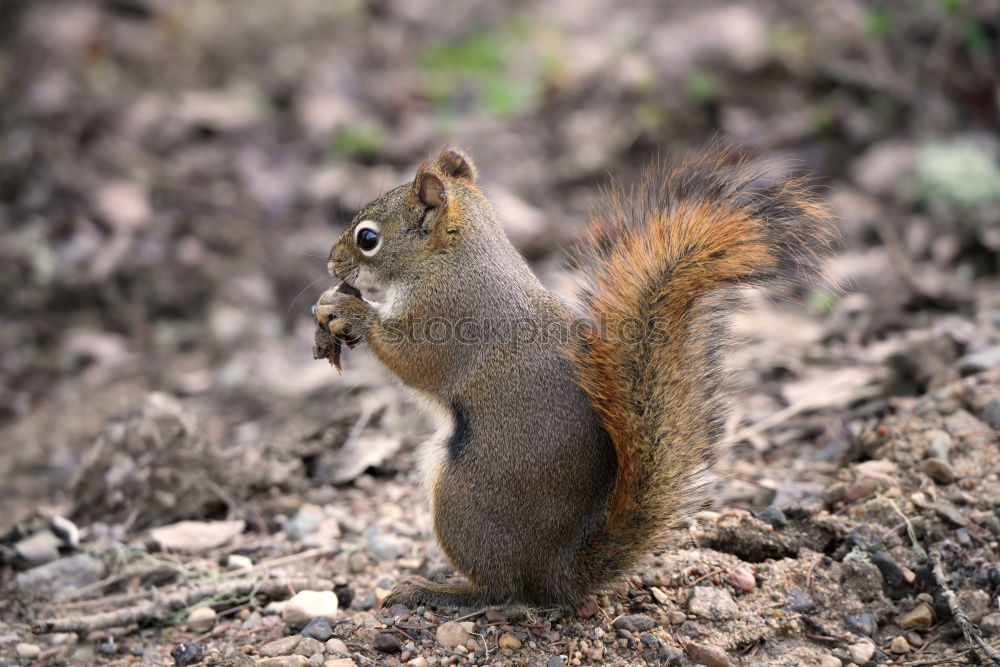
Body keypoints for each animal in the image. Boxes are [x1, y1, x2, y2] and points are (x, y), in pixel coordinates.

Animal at [314, 146, 836, 612]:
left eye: (367, 238)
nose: (330, 263)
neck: (452, 257)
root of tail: (554, 573)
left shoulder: (446, 315)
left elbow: (413, 359)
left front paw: (347, 310)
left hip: (464, 498)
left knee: (500, 589)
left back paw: (436, 591)